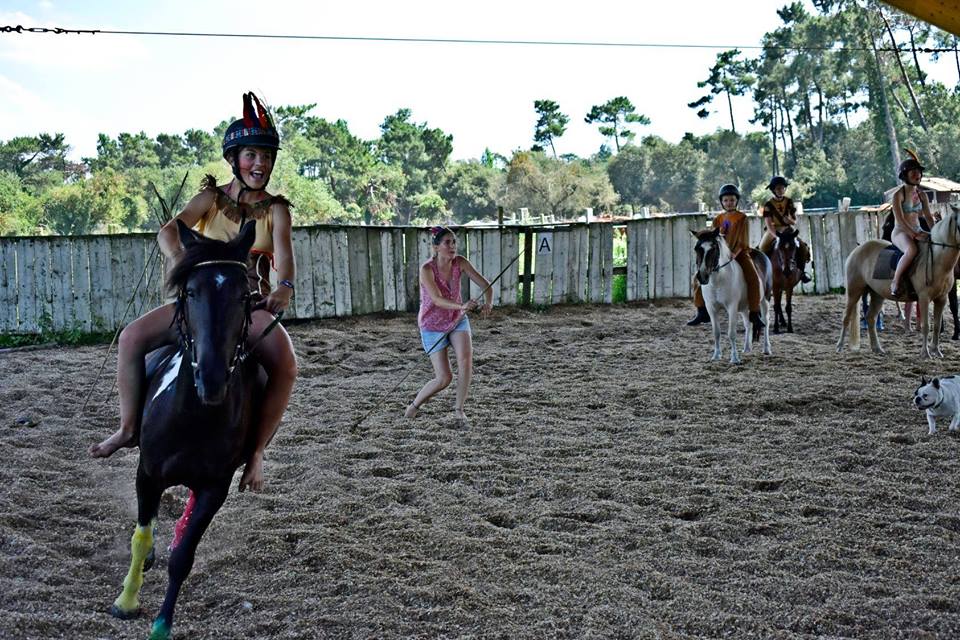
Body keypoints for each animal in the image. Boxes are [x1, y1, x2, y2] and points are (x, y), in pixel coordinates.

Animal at [108, 221, 266, 640]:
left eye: (244, 295)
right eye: (191, 292)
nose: (211, 379)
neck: (194, 417)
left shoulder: (215, 487)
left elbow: (184, 556)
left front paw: (162, 624)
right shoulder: (147, 473)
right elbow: (142, 537)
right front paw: (126, 601)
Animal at [688, 228, 772, 362]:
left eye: (713, 248)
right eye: (696, 248)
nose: (702, 276)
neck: (718, 280)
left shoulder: (732, 307)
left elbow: (731, 333)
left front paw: (734, 358)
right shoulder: (711, 308)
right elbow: (716, 333)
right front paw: (716, 355)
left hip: (765, 300)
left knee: (766, 321)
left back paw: (766, 349)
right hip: (745, 306)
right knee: (748, 324)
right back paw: (747, 348)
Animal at [836, 205, 960, 358]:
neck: (937, 258)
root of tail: (857, 250)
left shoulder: (941, 298)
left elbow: (936, 326)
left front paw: (936, 351)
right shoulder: (924, 298)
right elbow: (926, 326)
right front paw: (925, 353)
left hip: (877, 294)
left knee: (870, 318)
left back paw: (877, 348)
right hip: (854, 291)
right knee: (846, 317)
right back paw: (839, 346)